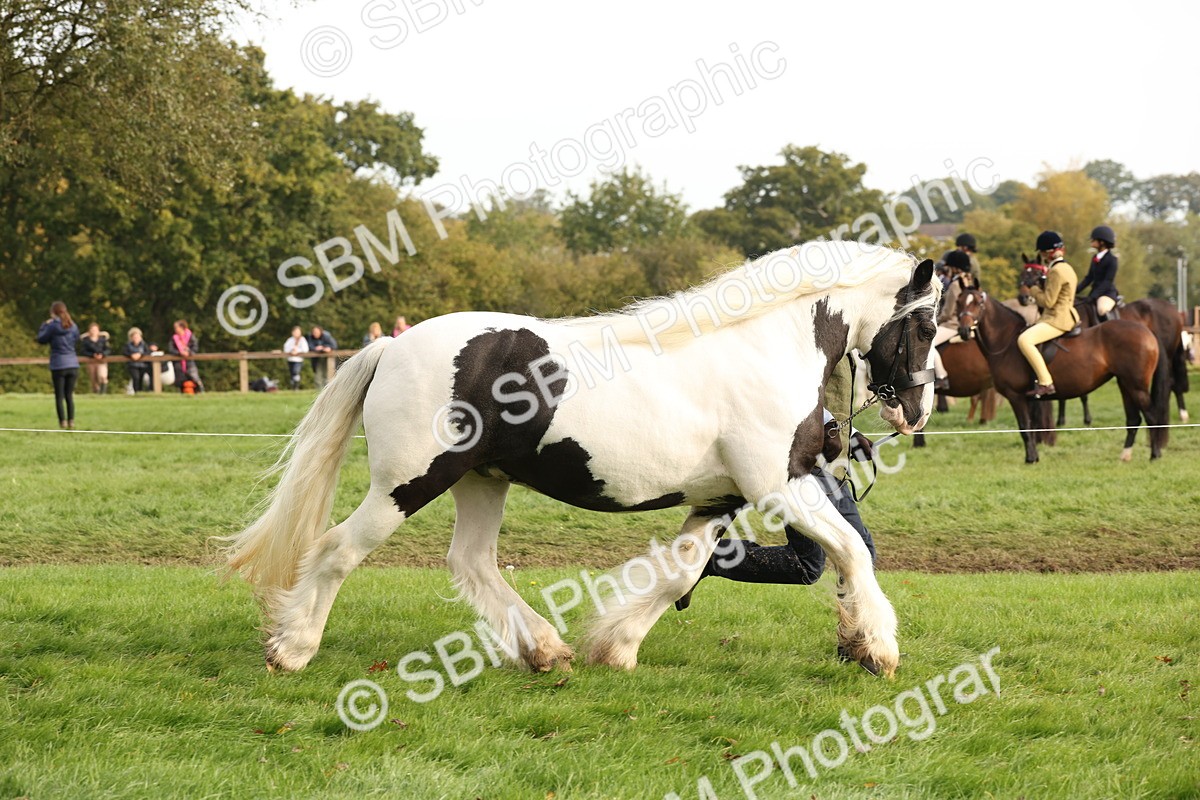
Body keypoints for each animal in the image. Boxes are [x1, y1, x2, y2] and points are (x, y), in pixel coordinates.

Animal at [219, 242, 941, 679]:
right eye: (929, 325)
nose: (919, 409)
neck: (764, 347)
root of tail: (390, 347)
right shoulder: (779, 486)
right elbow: (853, 551)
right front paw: (878, 650)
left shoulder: (721, 498)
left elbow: (680, 574)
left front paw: (616, 648)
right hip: (410, 481)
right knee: (337, 549)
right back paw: (291, 649)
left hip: (481, 481)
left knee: (471, 563)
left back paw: (545, 651)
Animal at [955, 286, 1165, 463]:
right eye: (959, 302)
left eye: (977, 303)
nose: (963, 330)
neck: (1006, 341)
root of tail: (1146, 332)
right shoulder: (1028, 399)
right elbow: (1032, 427)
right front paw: (1035, 457)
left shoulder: (1016, 396)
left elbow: (1024, 427)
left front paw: (1030, 459)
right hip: (1125, 384)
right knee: (1134, 419)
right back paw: (1125, 455)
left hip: (1136, 387)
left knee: (1152, 416)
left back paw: (1154, 455)